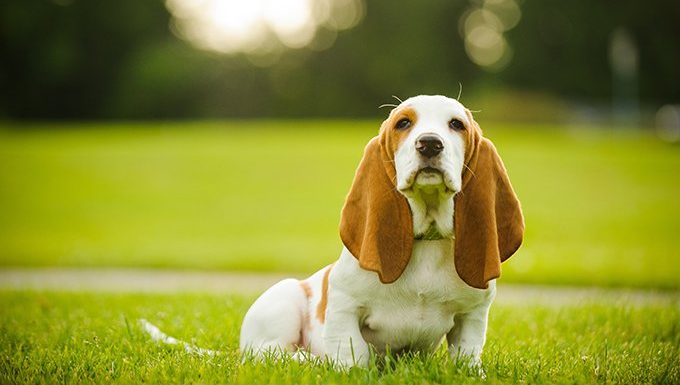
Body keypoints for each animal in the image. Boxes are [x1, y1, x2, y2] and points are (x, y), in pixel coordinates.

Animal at [239, 94, 524, 368]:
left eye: (456, 124)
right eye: (403, 123)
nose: (429, 144)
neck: (426, 240)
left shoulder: (473, 313)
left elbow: (466, 354)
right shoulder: (345, 305)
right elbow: (352, 353)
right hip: (284, 301)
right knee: (269, 353)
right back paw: (310, 359)